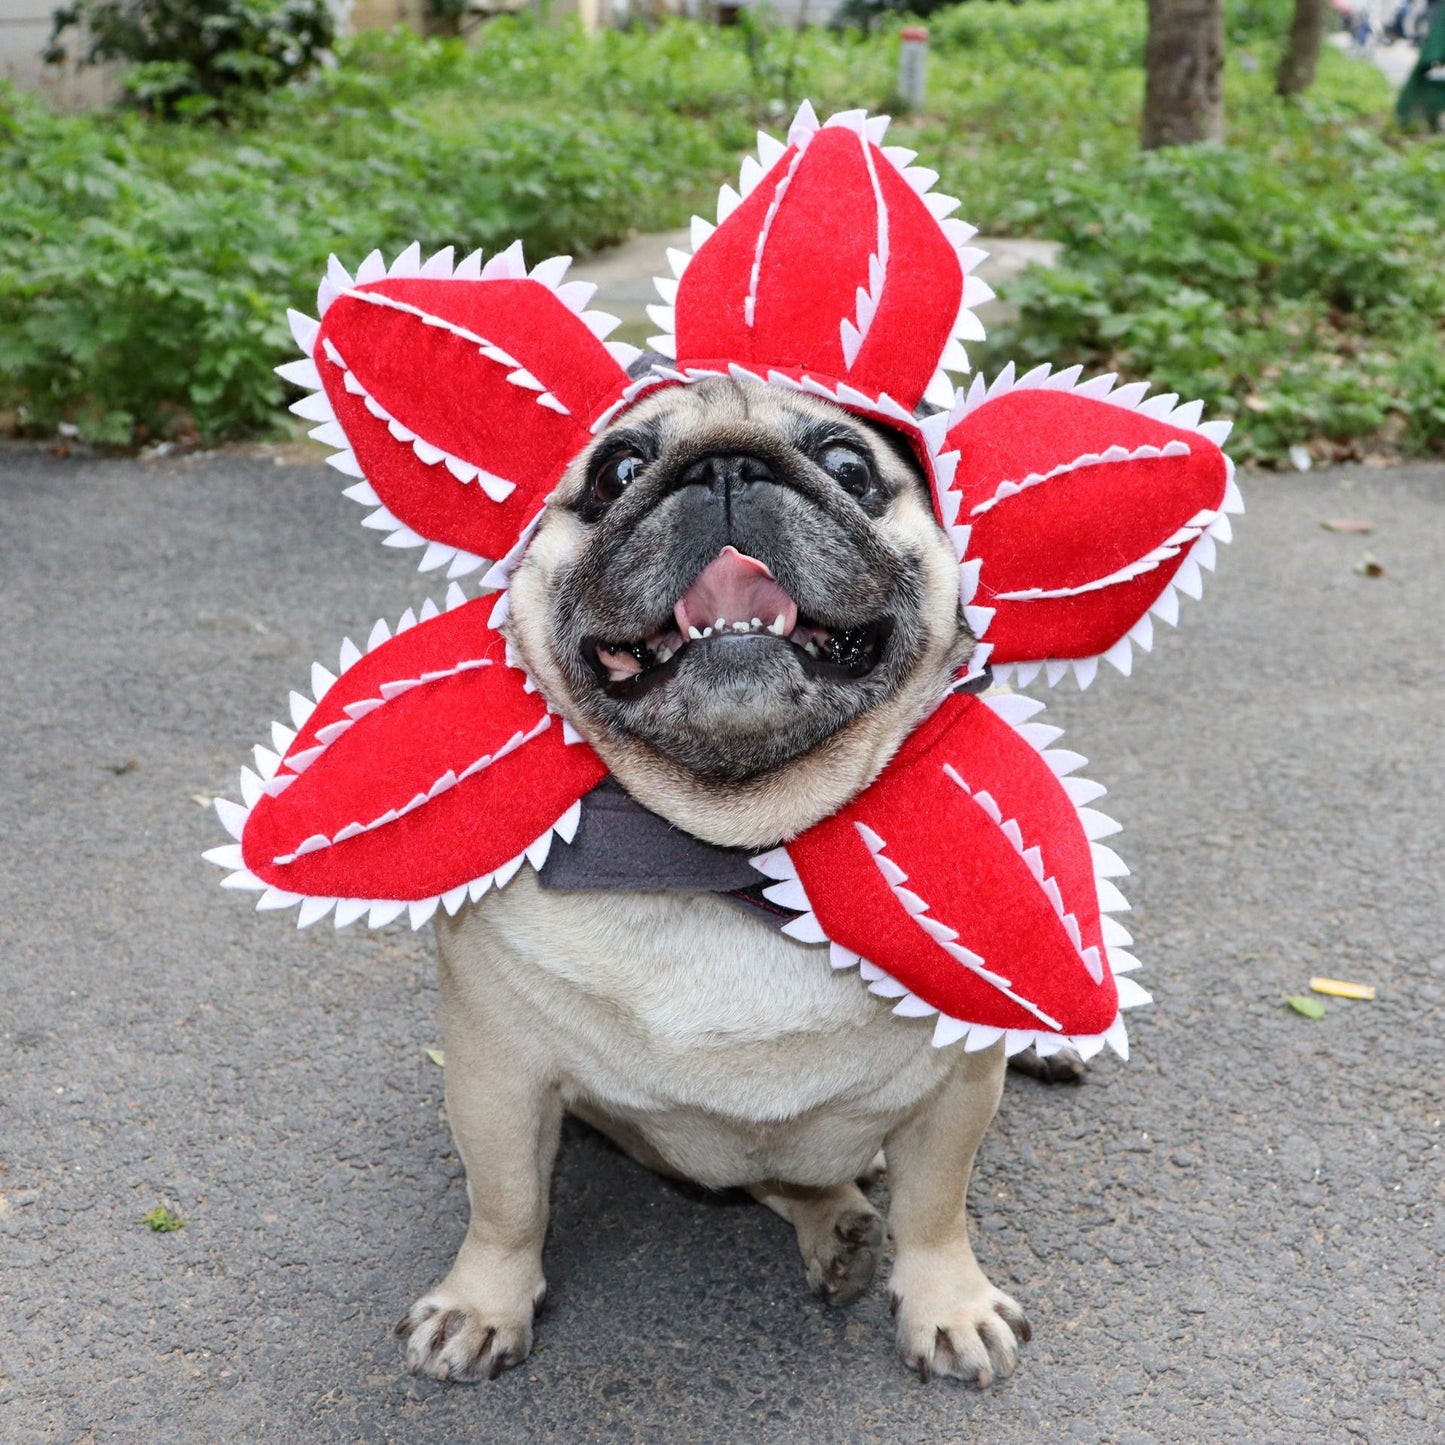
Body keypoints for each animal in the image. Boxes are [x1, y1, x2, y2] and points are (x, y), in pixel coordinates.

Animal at [393, 372, 1040, 1387]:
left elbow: (937, 1203)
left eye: (848, 465)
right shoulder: (497, 1074)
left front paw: (950, 1304)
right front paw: (479, 1303)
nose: (726, 465)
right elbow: (506, 1201)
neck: (730, 846)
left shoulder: (958, 1083)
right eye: (617, 471)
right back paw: (838, 1225)